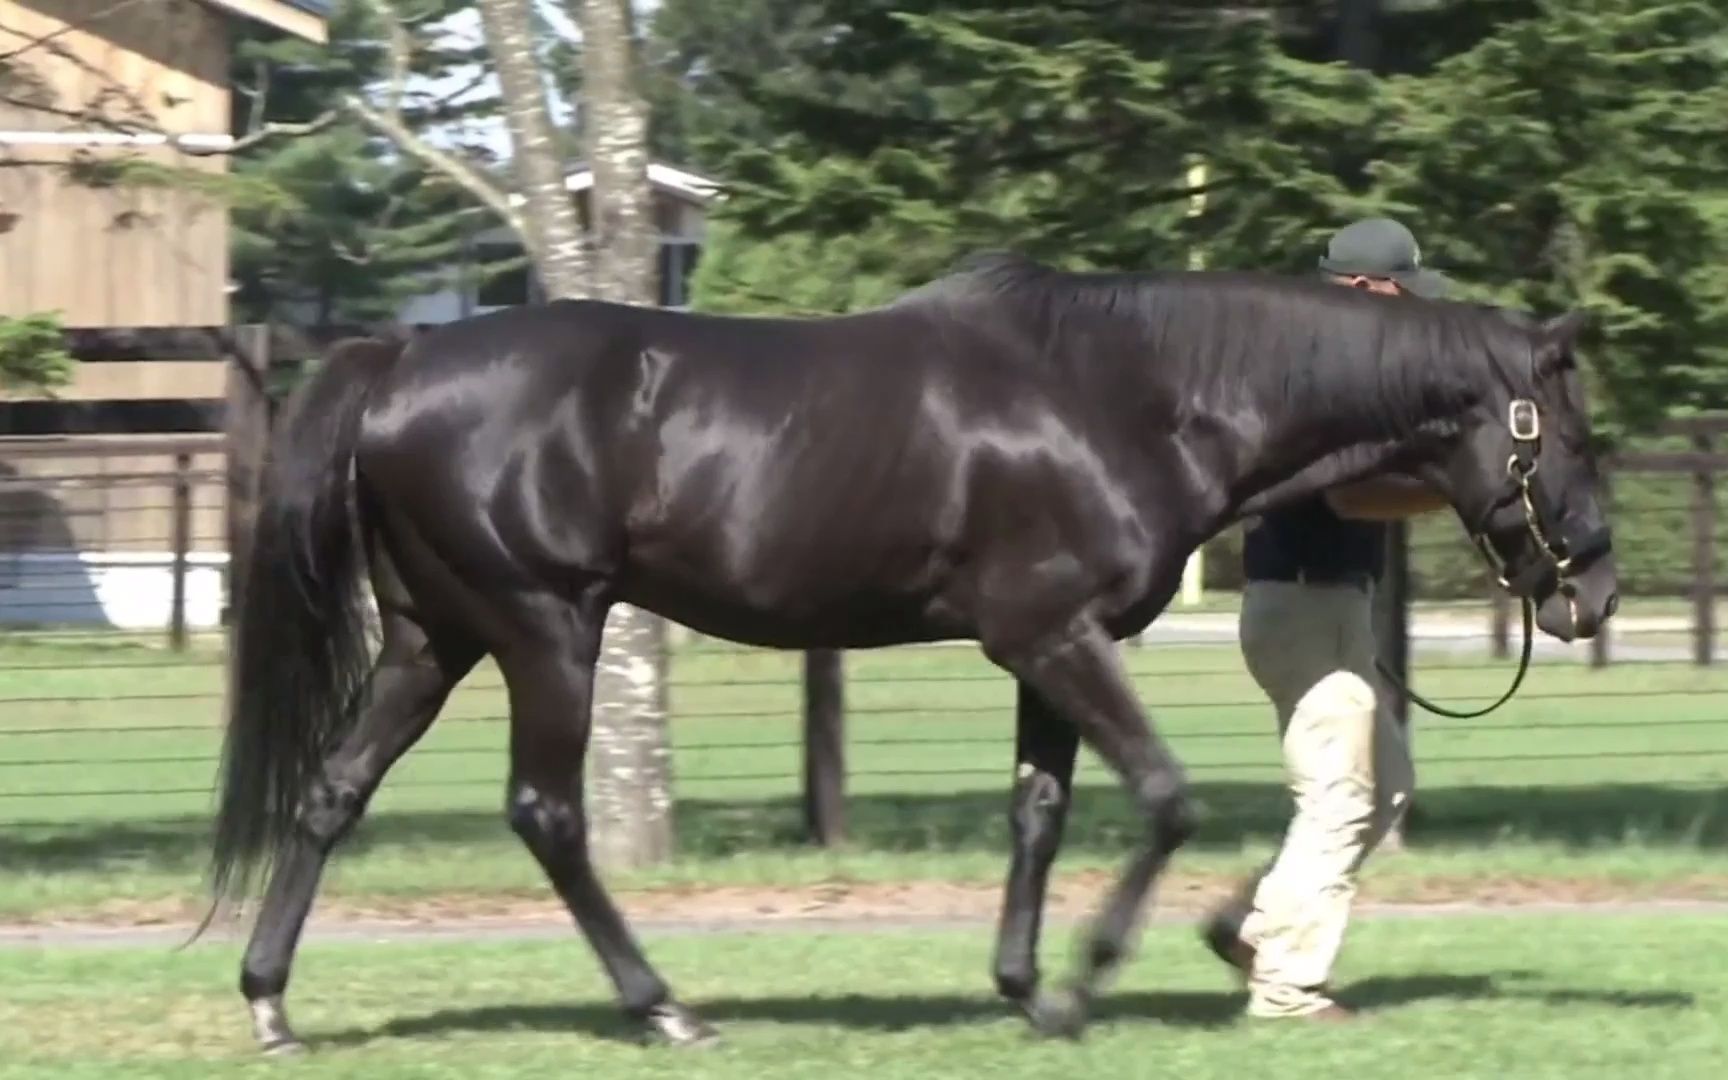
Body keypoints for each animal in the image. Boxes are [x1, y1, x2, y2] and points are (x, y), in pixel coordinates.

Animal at [200, 252, 1617, 1054]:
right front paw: (1097, 980)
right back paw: (664, 1006)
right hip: (547, 628)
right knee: (547, 813)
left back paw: (270, 1000)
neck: (1128, 392)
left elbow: (1040, 812)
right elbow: (1164, 796)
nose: (1593, 593)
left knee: (332, 793)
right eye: (1575, 437)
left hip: (432, 639)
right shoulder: (1053, 634)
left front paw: (1027, 987)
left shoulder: (1044, 649)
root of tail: (402, 359)